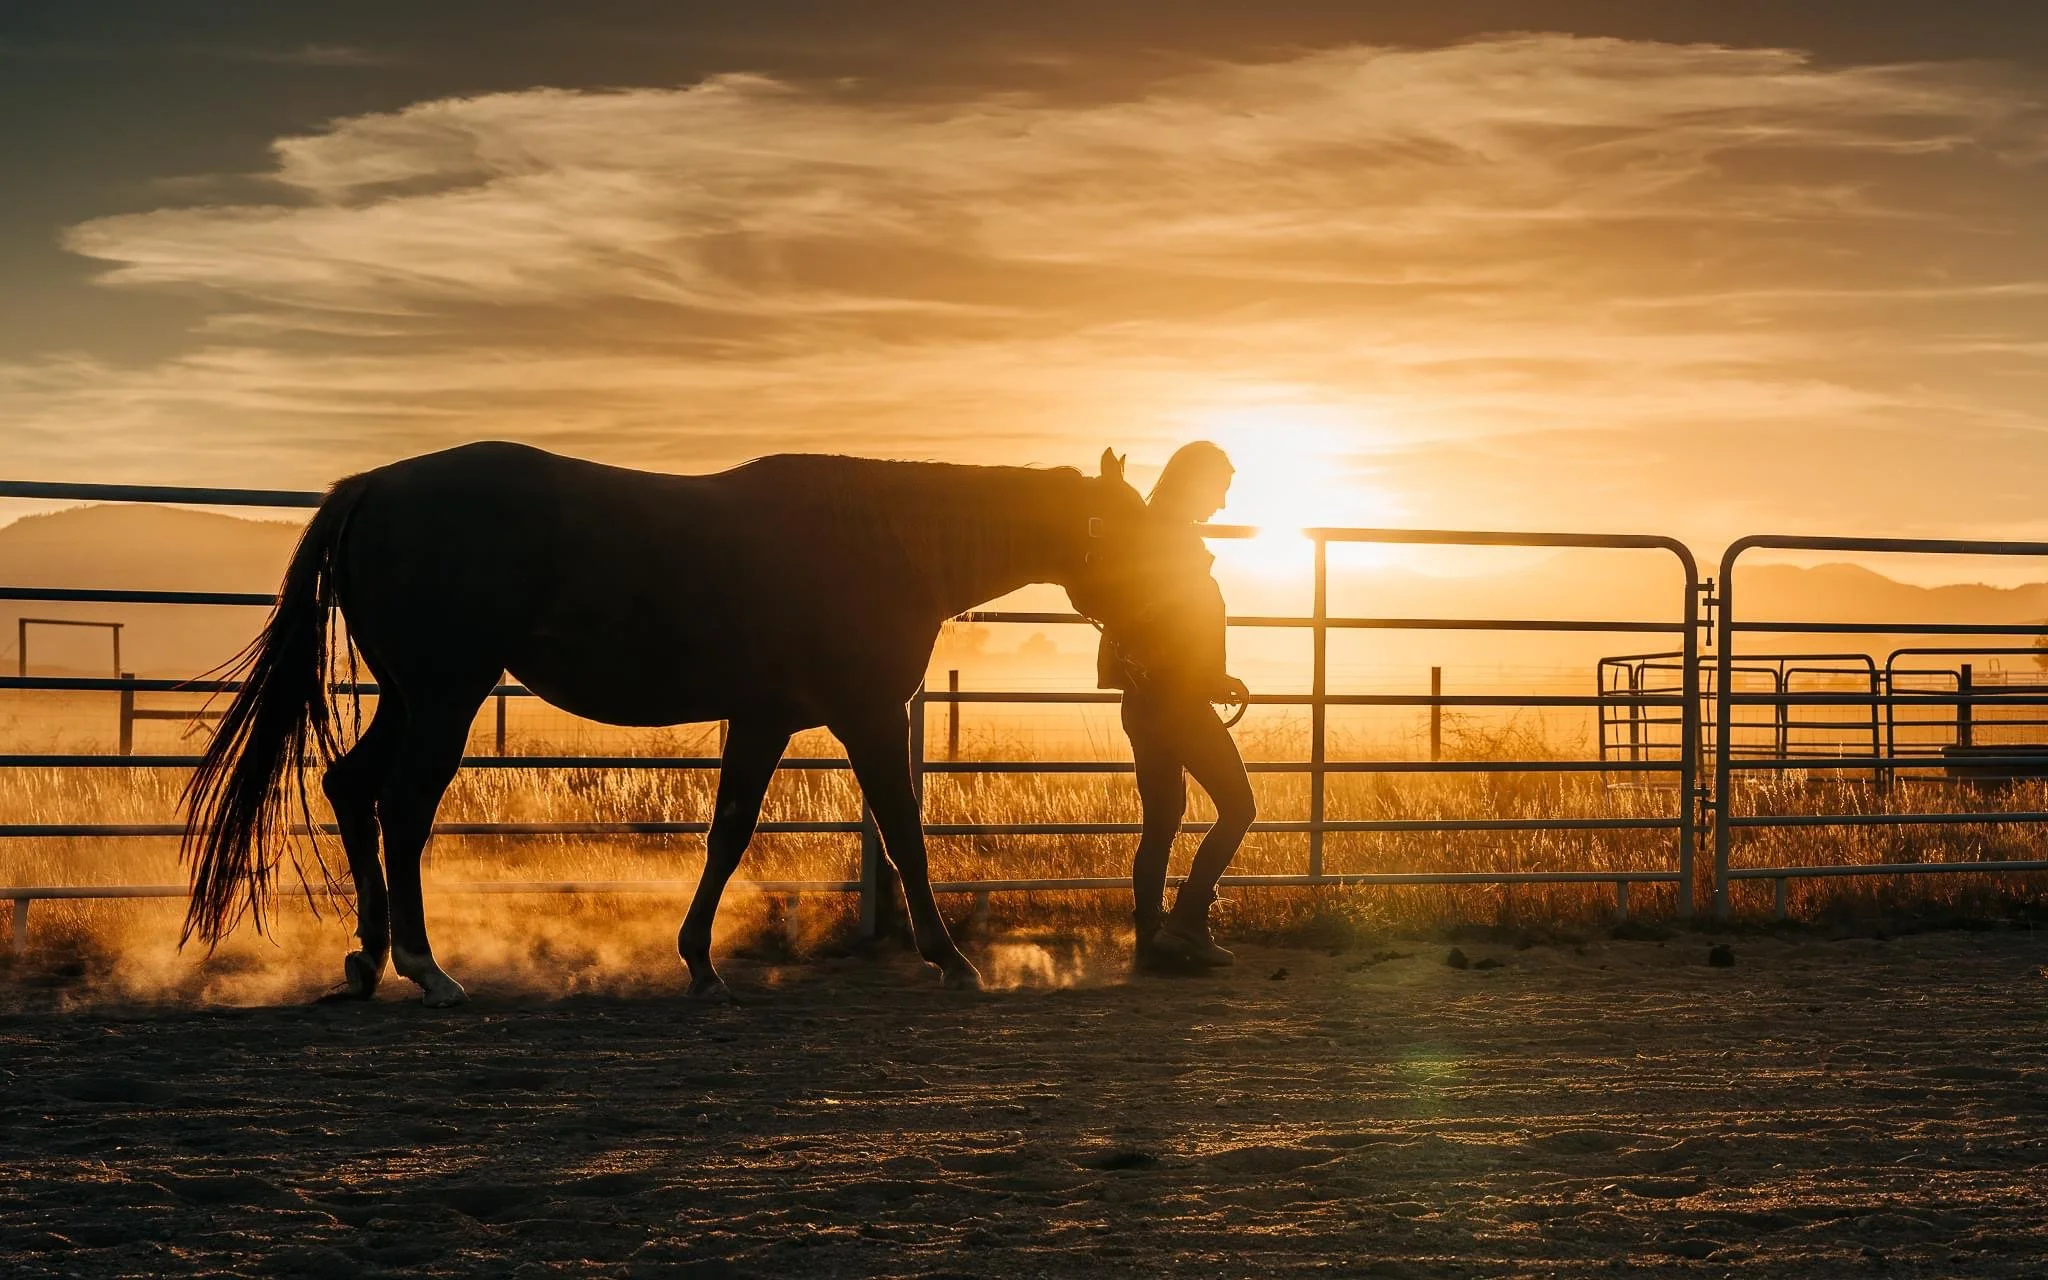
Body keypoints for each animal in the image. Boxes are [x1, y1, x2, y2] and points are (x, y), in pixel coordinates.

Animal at [180, 441, 1185, 1005]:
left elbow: (729, 832)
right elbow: (905, 835)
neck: (881, 543)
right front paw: (950, 959)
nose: (1158, 635)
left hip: (410, 693)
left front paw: (699, 961)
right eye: (1129, 533)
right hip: (445, 694)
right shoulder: (863, 715)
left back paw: (367, 957)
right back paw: (427, 968)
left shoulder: (766, 718)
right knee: (404, 808)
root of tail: (375, 488)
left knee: (351, 787)